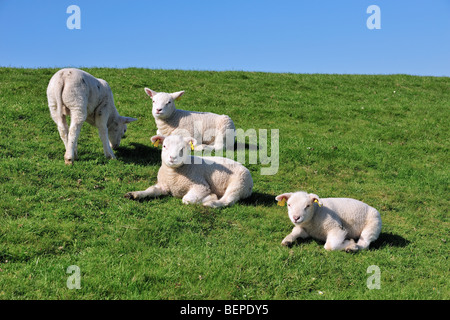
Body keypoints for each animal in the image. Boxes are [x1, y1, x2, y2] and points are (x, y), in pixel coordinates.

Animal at [125, 134, 253, 208]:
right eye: (164, 146)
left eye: (183, 148)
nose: (172, 157)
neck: (173, 174)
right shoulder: (163, 186)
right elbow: (150, 190)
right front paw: (135, 194)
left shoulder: (201, 186)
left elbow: (186, 200)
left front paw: (210, 197)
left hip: (239, 184)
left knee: (228, 200)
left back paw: (210, 203)